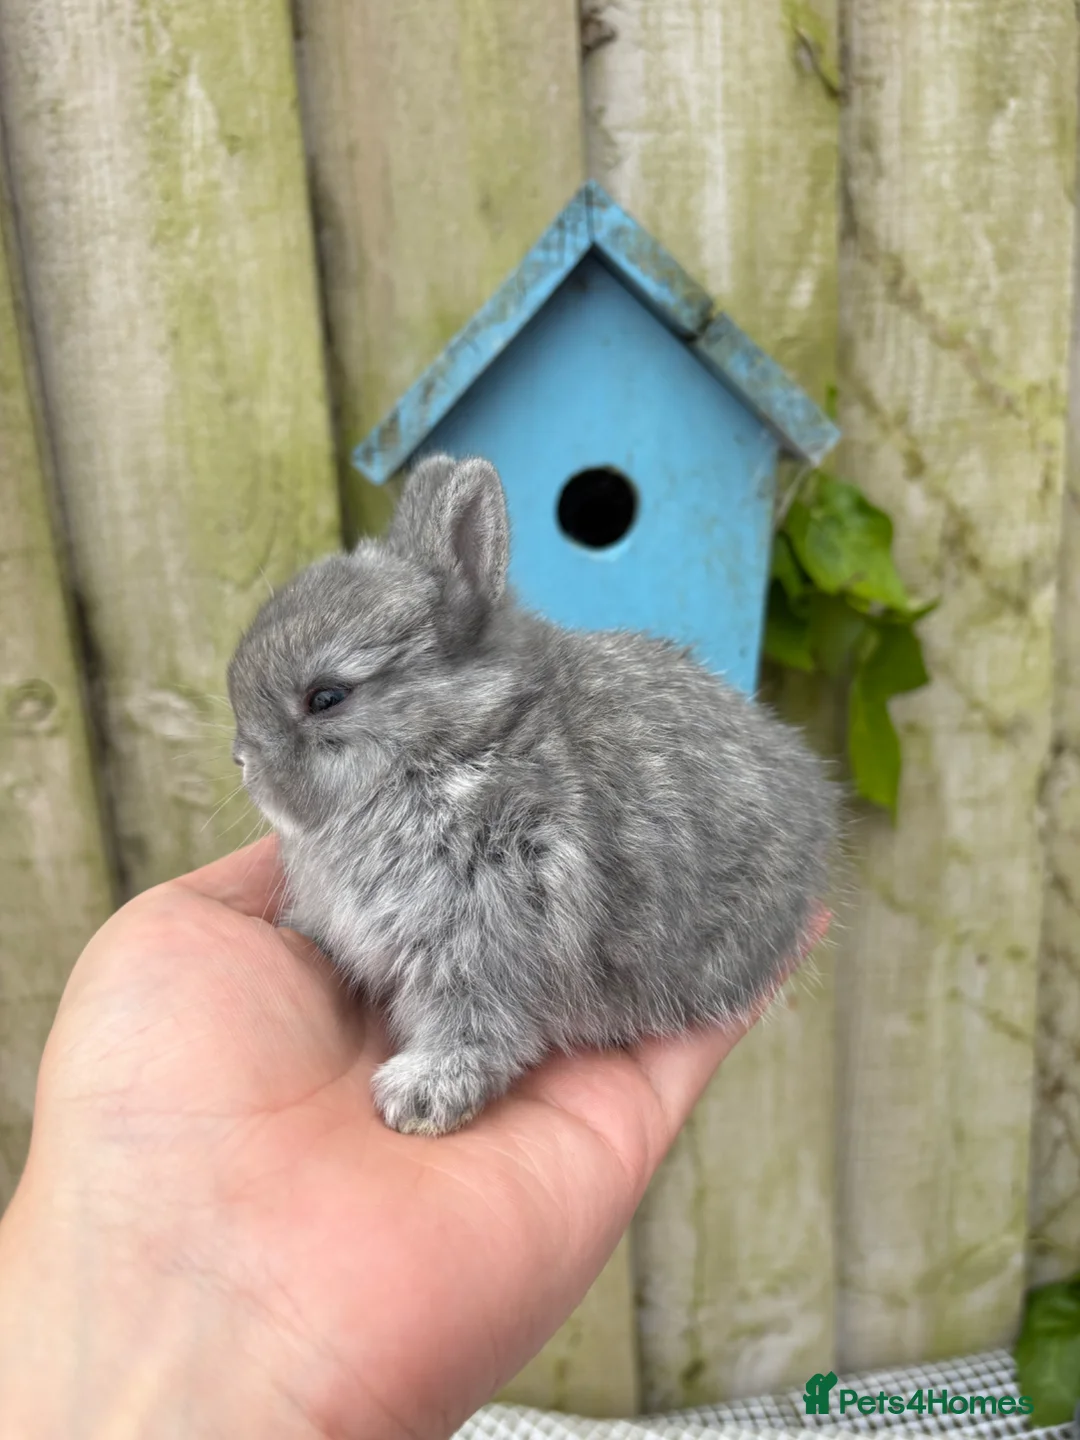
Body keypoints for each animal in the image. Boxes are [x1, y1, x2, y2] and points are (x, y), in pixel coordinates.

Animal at [227, 453, 838, 1136]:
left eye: (327, 698)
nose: (242, 761)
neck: (454, 745)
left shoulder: (488, 933)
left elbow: (477, 1027)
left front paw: (421, 1096)